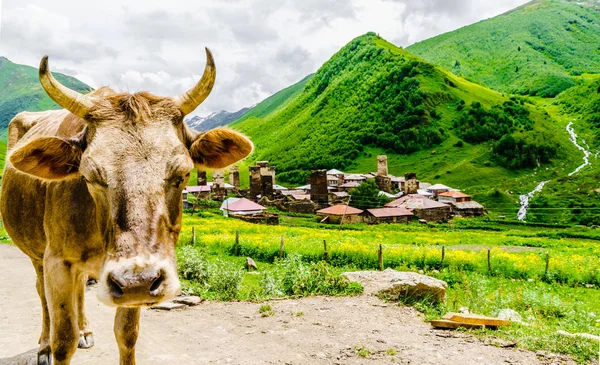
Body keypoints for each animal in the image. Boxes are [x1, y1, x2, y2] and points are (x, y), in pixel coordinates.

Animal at [0, 49, 253, 364]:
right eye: (89, 175)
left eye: (183, 173)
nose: (138, 281)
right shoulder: (56, 261)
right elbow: (63, 340)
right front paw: (55, 344)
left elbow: (127, 334)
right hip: (36, 254)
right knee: (41, 293)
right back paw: (44, 345)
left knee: (80, 290)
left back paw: (85, 330)